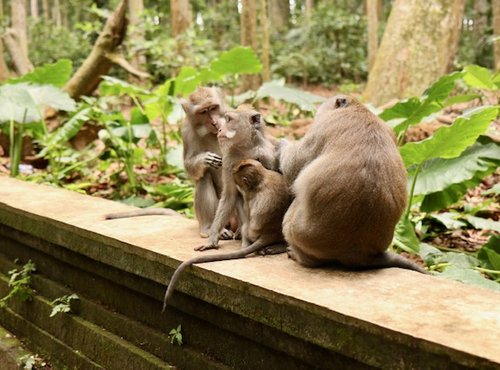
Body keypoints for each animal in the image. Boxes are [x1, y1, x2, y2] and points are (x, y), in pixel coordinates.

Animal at [104, 85, 233, 238]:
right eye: (203, 112)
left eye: (213, 107)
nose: (214, 122)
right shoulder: (187, 131)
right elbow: (191, 169)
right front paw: (204, 159)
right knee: (204, 177)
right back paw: (210, 228)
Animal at [195, 105, 282, 253]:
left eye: (229, 120)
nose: (219, 129)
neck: (246, 148)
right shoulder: (228, 158)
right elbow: (230, 195)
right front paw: (212, 239)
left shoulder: (269, 154)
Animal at [280, 94, 428, 274]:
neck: (360, 110)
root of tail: (359, 253)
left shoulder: (323, 126)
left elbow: (293, 169)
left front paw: (282, 144)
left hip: (301, 233)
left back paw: (301, 258)